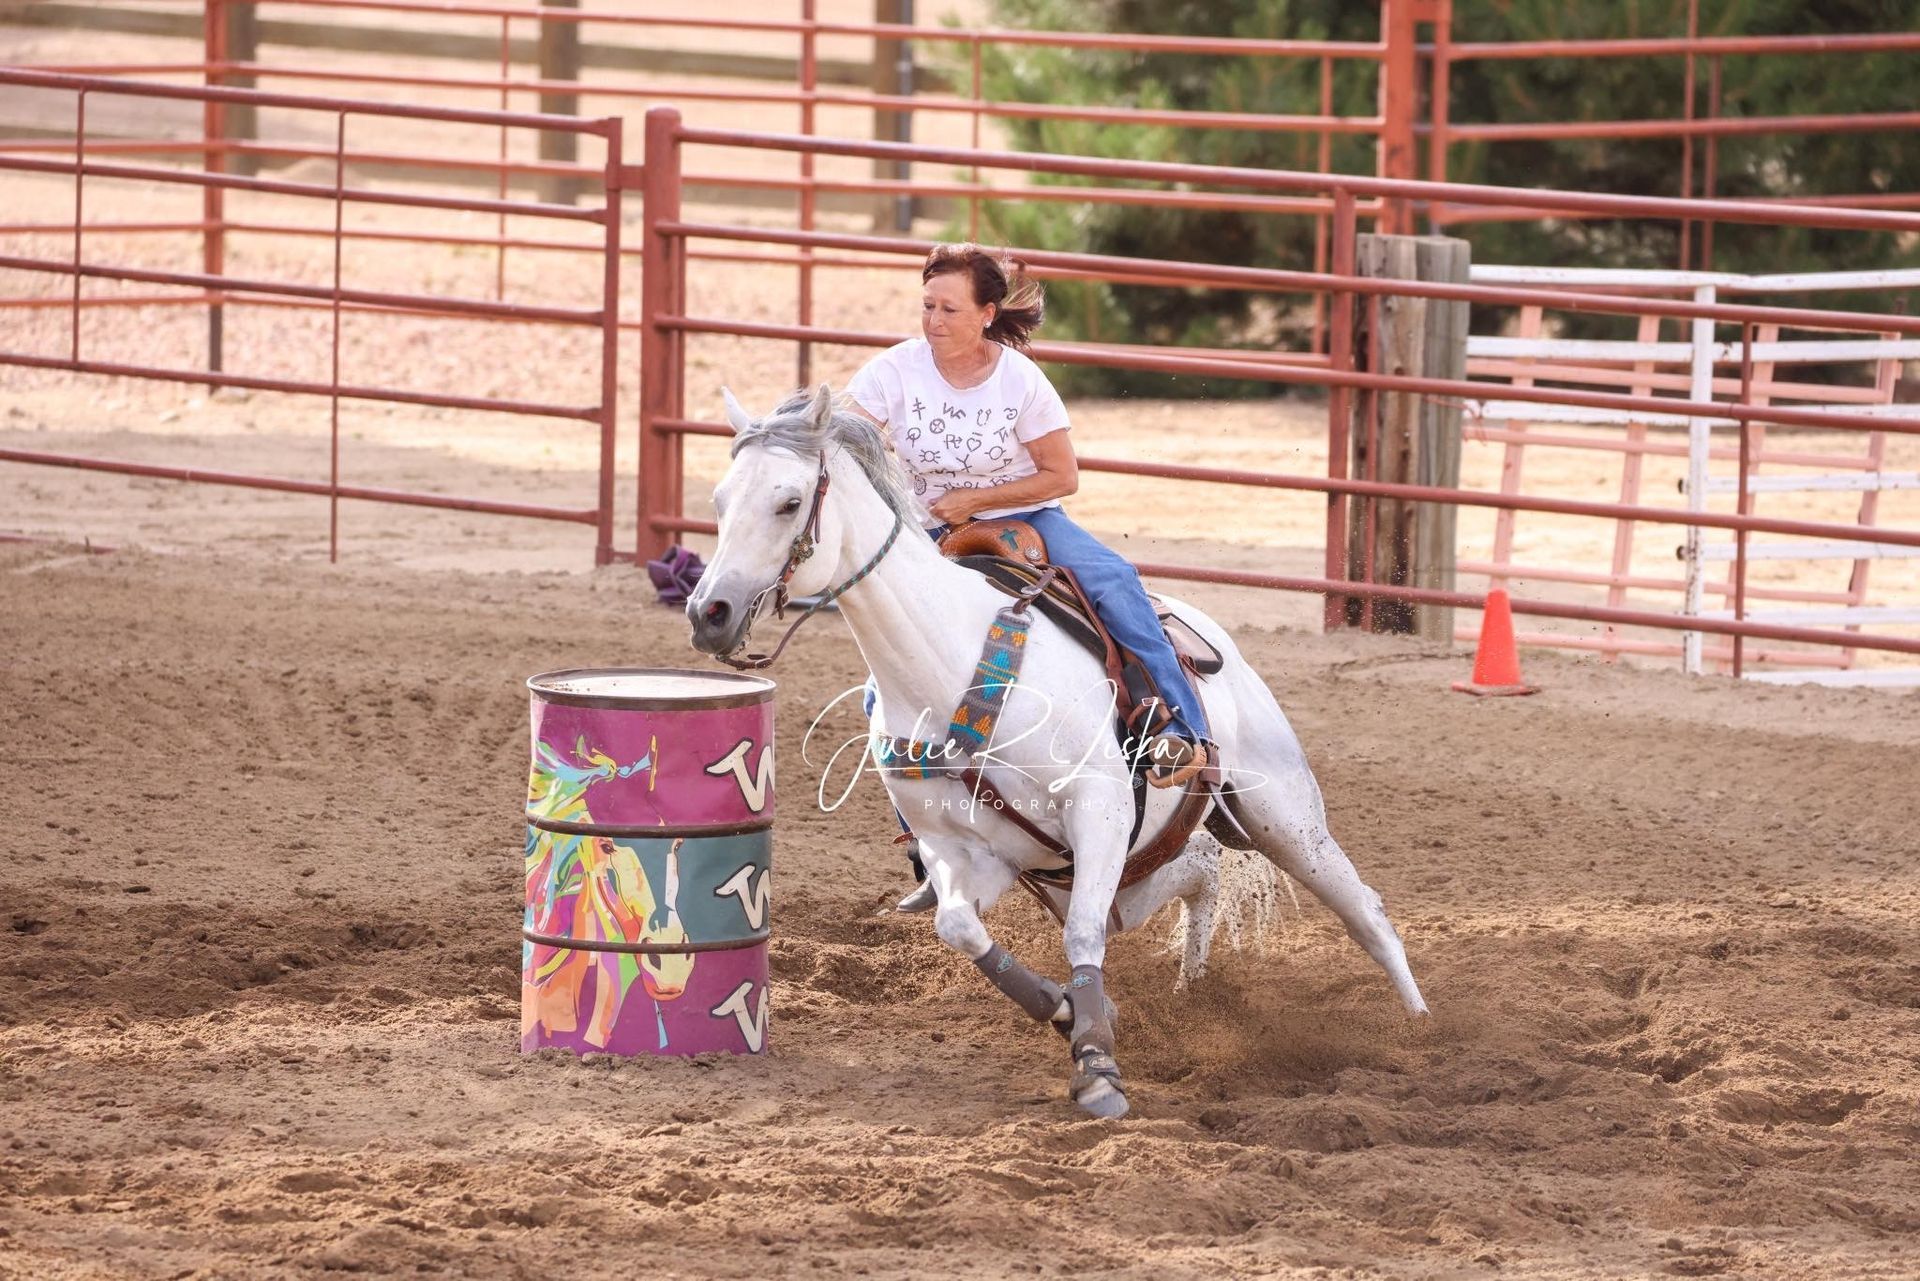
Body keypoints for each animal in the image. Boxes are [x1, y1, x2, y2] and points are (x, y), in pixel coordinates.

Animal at [687, 384, 1428, 1119]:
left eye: (788, 501)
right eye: (718, 499)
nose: (708, 612)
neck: (949, 662)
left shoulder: (1099, 810)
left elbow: (1081, 935)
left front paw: (1098, 1067)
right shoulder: (974, 852)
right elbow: (960, 928)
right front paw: (1067, 1011)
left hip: (1284, 818)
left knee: (1364, 910)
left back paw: (1422, 1030)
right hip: (1144, 859)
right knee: (1200, 869)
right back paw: (1192, 981)